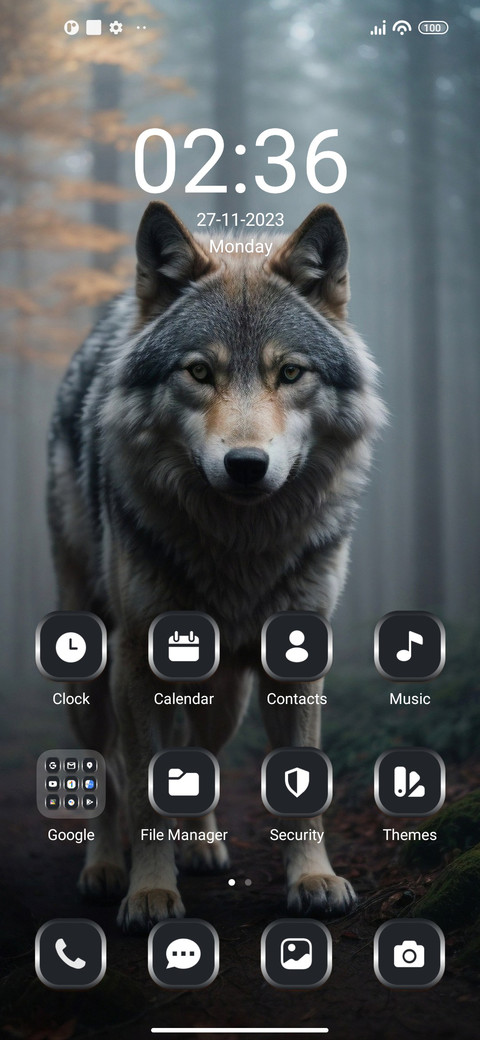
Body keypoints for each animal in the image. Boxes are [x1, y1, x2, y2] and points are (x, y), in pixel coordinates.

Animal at [48, 202, 385, 932]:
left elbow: (301, 783)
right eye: (200, 373)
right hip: (87, 666)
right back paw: (103, 869)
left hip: (224, 695)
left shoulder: (296, 660)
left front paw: (313, 879)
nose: (247, 465)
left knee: (197, 754)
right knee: (102, 770)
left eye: (290, 373)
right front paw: (149, 891)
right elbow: (142, 795)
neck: (239, 549)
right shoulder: (135, 660)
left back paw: (201, 846)